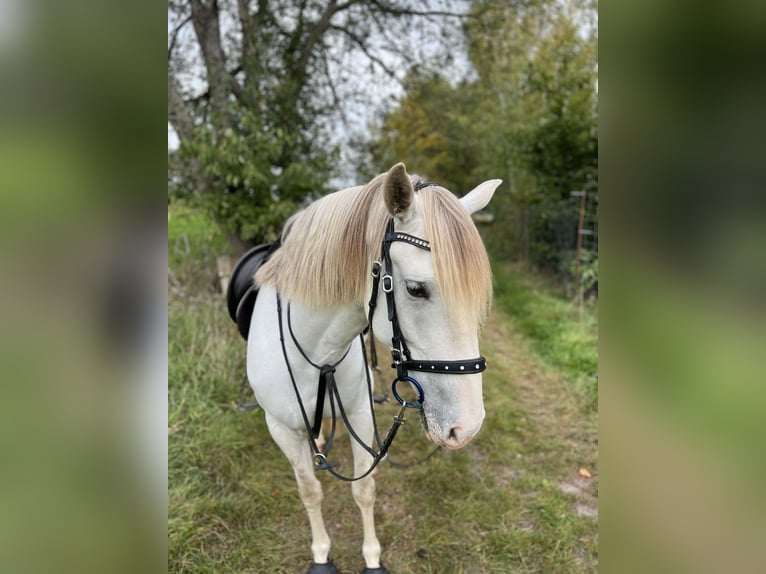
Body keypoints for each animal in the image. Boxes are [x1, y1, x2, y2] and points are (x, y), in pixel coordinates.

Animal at [243, 164, 500, 572]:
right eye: (415, 289)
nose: (468, 427)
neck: (315, 351)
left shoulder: (361, 414)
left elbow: (364, 490)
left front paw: (372, 557)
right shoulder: (280, 429)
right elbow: (309, 490)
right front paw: (321, 554)